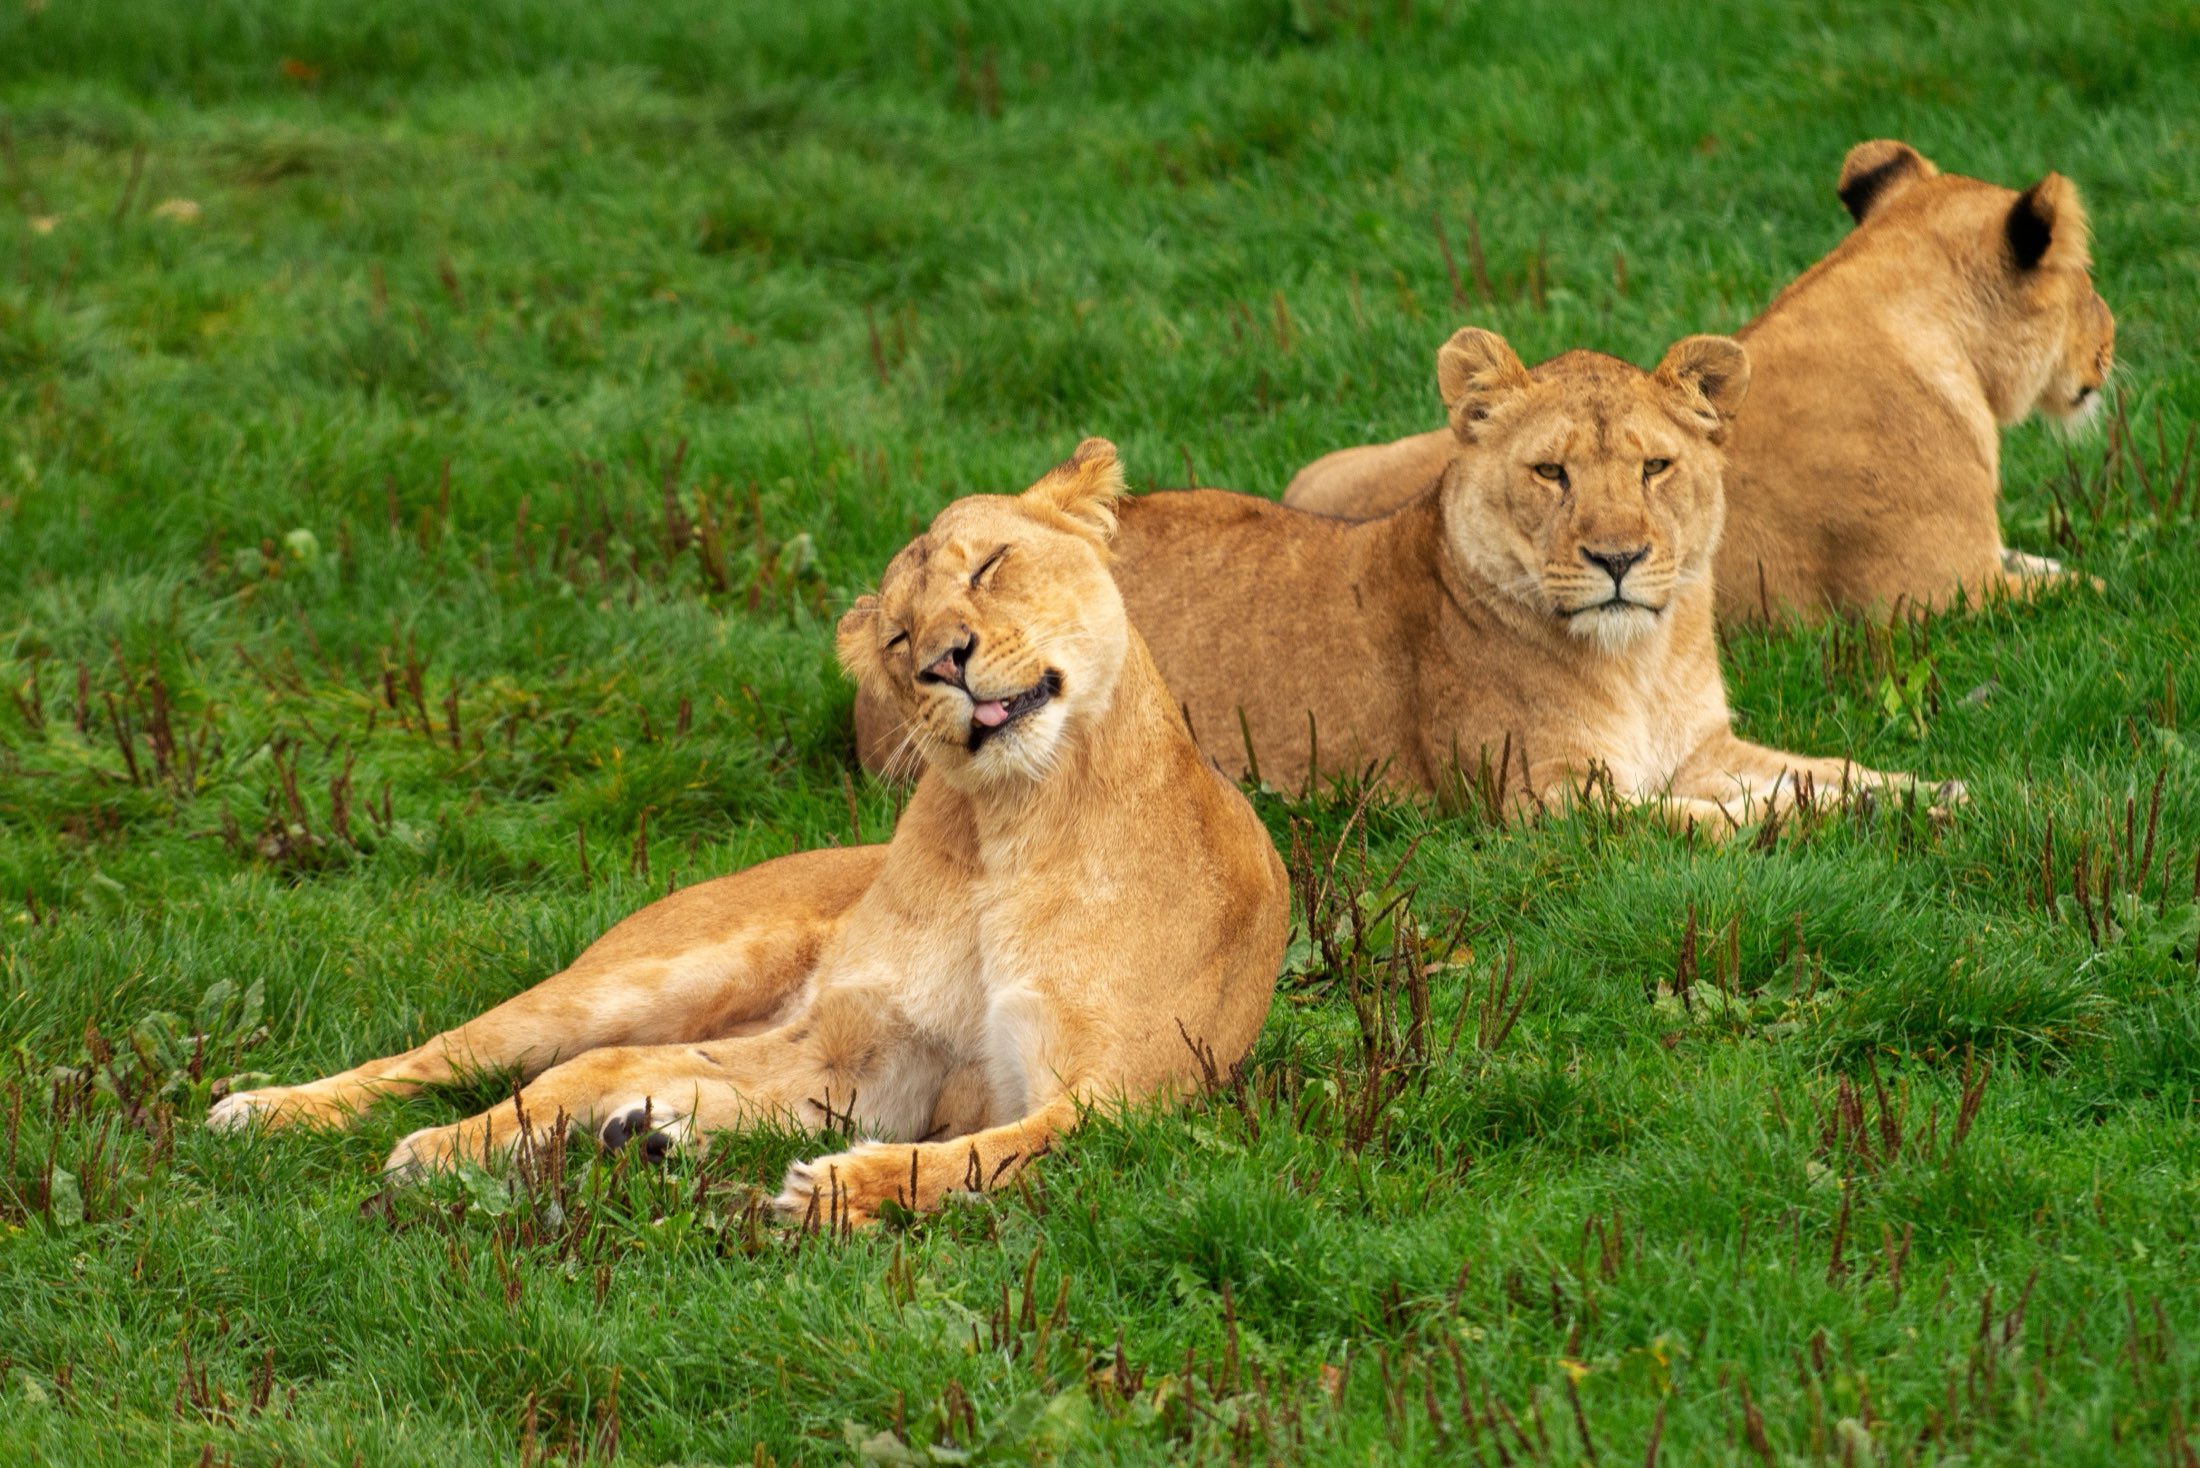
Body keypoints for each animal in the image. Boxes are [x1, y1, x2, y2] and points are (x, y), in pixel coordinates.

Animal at [211, 440, 1289, 1223]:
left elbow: (995, 1152)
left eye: (990, 564)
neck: (1012, 825)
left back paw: (633, 1138)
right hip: (641, 980)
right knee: (489, 1057)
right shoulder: (862, 1057)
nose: (944, 661)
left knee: (617, 1073)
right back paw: (301, 1118)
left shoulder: (1123, 1097)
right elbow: (983, 1149)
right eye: (899, 637)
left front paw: (841, 1188)